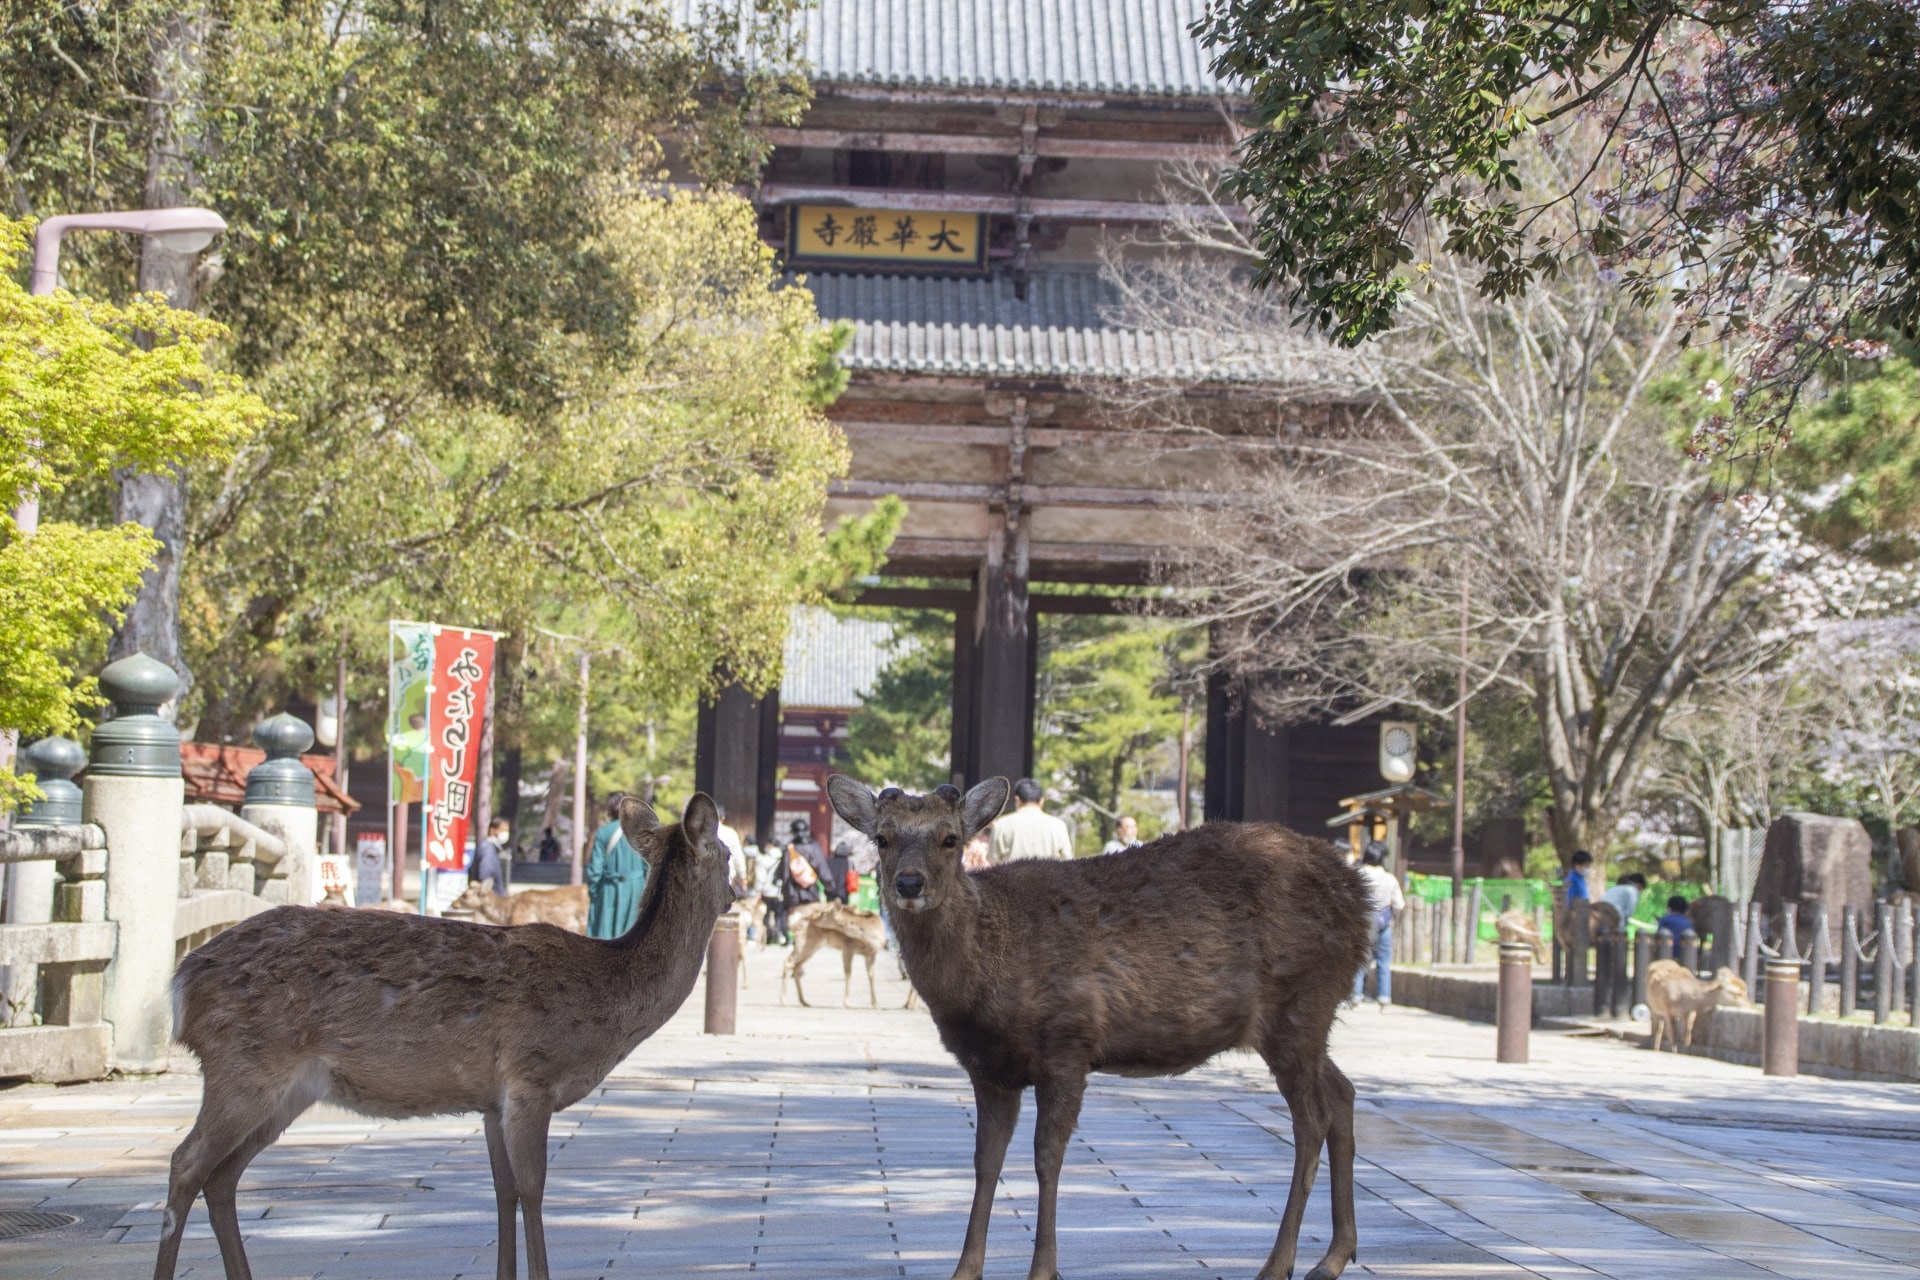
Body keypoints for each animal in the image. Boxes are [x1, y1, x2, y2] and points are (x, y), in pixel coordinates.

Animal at [821, 771, 1367, 1280]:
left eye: (949, 838)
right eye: (883, 838)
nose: (909, 884)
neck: (984, 980)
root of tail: (1361, 897)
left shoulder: (1068, 1042)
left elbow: (1047, 1157)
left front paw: (1043, 1268)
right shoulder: (989, 1068)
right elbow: (985, 1161)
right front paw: (965, 1269)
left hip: (1299, 1003)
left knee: (1311, 1119)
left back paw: (1279, 1264)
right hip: (1309, 1019)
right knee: (1343, 1092)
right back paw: (1333, 1256)